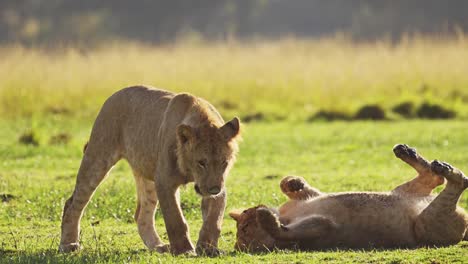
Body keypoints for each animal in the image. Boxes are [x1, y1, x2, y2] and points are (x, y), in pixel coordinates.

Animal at [230, 144, 468, 252]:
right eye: (245, 228)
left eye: (245, 215)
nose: (256, 208)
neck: (286, 216)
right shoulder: (320, 228)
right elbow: (283, 231)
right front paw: (266, 217)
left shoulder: (311, 199)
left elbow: (290, 185)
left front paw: (295, 182)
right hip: (426, 224)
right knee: (455, 183)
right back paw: (448, 170)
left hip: (402, 191)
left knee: (433, 177)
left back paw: (409, 152)